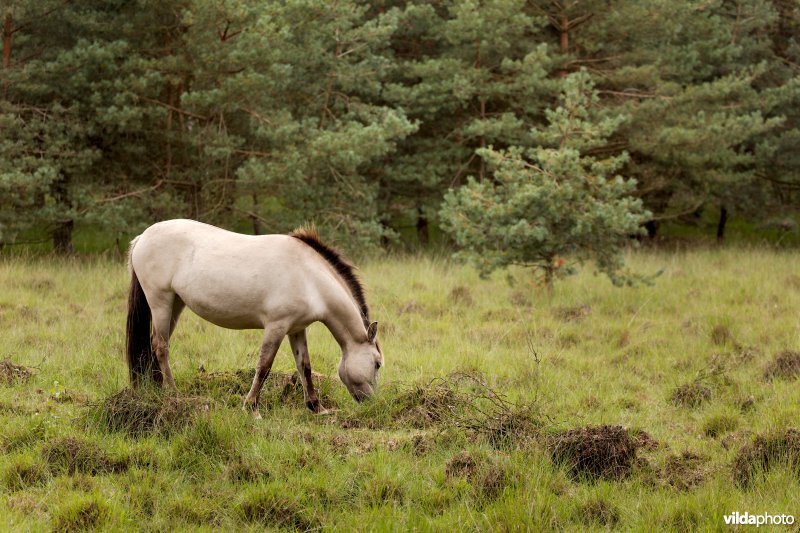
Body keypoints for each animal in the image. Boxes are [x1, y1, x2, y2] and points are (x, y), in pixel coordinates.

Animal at [126, 218, 382, 414]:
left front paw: (316, 407)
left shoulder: (296, 329)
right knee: (161, 346)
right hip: (160, 301)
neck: (309, 277)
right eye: (378, 364)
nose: (373, 403)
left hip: (175, 304)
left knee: (157, 345)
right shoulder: (276, 327)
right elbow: (264, 366)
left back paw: (159, 389)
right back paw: (174, 392)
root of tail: (142, 237)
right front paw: (251, 407)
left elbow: (305, 367)